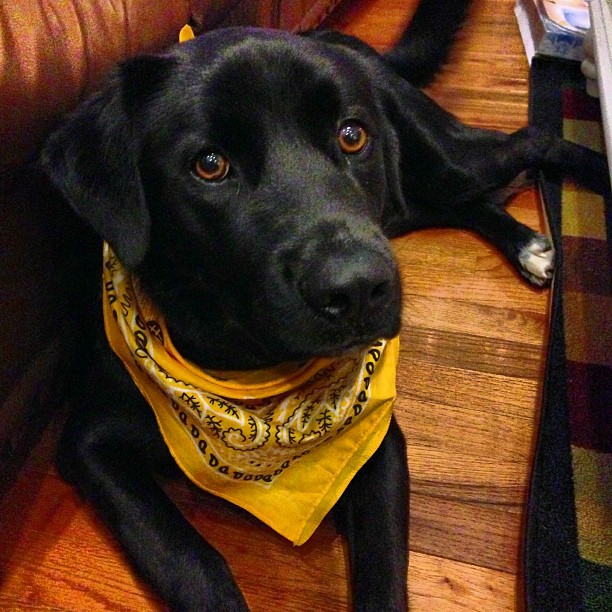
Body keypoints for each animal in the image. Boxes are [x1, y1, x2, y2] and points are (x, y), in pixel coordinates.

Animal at [40, 2, 608, 608]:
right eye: (209, 164)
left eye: (352, 135)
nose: (358, 288)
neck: (247, 369)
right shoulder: (90, 443)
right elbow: (189, 559)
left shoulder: (377, 441)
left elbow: (383, 568)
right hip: (401, 203)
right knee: (460, 200)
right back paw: (528, 245)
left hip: (439, 163)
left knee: (529, 142)